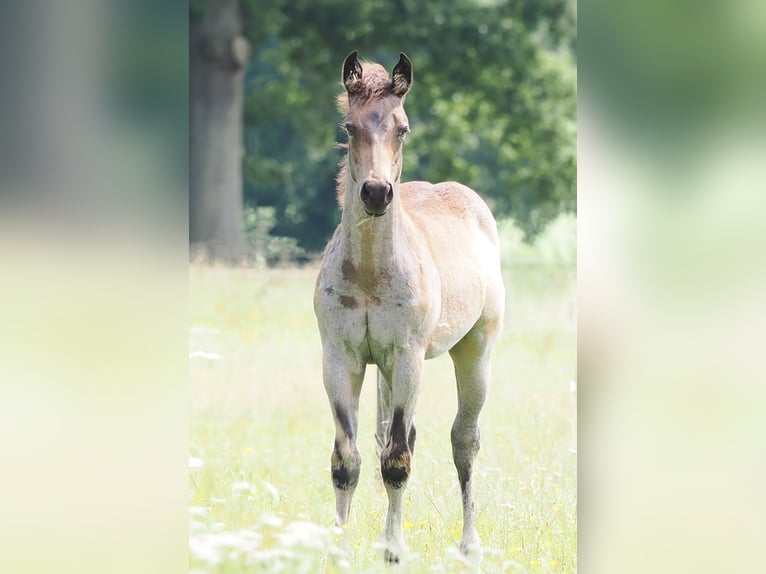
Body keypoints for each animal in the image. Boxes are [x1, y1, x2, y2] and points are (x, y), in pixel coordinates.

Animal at [313, 50, 505, 563]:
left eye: (403, 127)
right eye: (349, 126)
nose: (377, 193)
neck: (369, 274)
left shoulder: (406, 357)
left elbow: (397, 461)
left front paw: (395, 551)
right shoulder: (341, 358)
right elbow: (348, 459)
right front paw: (338, 551)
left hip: (473, 353)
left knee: (463, 440)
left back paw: (469, 546)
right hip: (383, 368)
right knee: (393, 437)